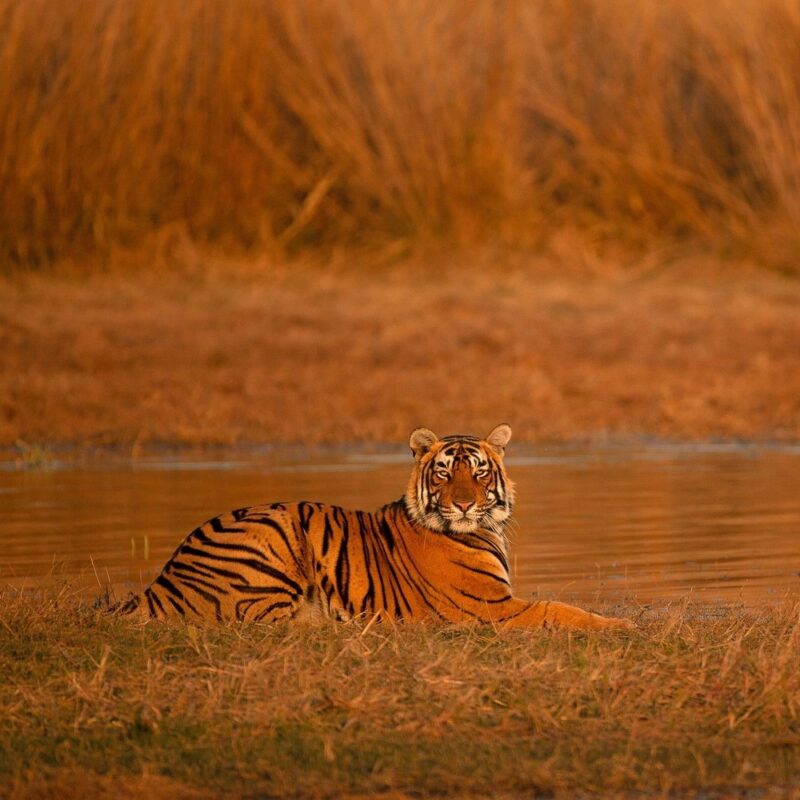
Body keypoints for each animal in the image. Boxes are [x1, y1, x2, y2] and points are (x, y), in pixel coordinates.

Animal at [113, 424, 633, 631]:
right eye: (444, 473)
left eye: (480, 472)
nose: (465, 503)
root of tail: (162, 579)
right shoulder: (492, 609)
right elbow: (560, 609)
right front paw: (624, 625)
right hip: (274, 533)